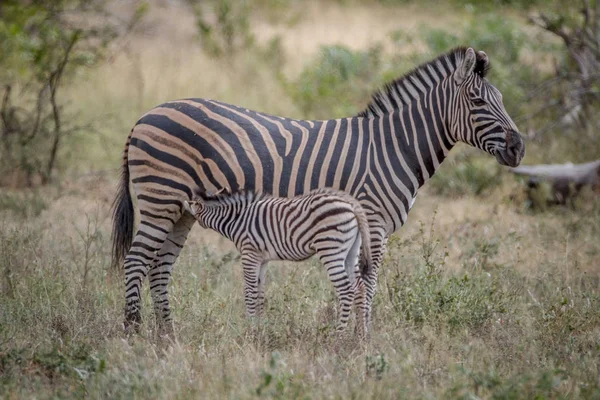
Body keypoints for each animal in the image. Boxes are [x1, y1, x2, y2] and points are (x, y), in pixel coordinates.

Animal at [183, 188, 372, 334]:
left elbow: (249, 292)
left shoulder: (249, 254)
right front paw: (259, 329)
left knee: (346, 290)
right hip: (351, 253)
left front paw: (249, 329)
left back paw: (338, 337)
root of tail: (352, 204)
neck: (236, 219)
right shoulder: (262, 259)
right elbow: (259, 292)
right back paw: (361, 337)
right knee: (359, 287)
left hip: (331, 249)